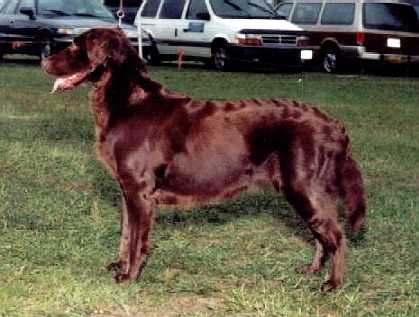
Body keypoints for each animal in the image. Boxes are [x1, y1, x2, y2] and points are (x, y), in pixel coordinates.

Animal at [41, 28, 366, 290]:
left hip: (304, 186)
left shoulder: (140, 190)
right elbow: (125, 231)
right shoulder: (126, 189)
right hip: (303, 190)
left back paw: (333, 284)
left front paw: (129, 276)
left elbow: (137, 239)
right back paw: (311, 271)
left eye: (75, 46)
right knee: (321, 236)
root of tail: (335, 126)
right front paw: (118, 265)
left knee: (336, 236)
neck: (128, 101)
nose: (43, 62)